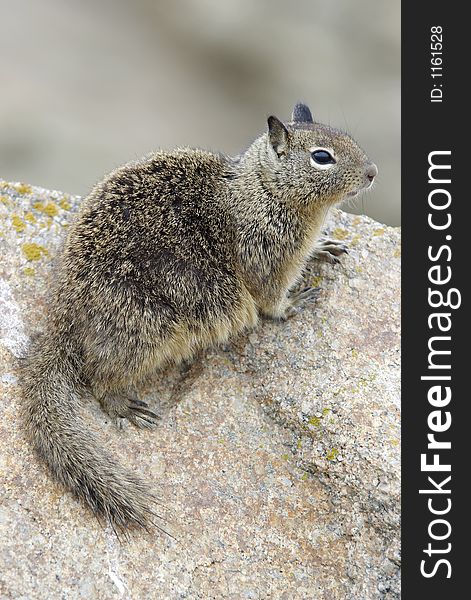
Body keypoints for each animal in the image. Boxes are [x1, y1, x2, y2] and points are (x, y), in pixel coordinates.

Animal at [19, 102, 380, 528]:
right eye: (322, 157)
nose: (373, 171)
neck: (262, 190)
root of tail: (60, 321)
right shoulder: (268, 262)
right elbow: (272, 304)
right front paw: (298, 301)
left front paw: (325, 247)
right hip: (144, 331)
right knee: (99, 379)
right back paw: (126, 406)